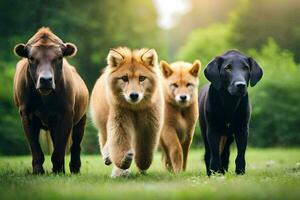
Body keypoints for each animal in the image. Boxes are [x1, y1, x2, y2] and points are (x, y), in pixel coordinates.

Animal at [90, 47, 164, 178]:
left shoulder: (149, 124)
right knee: (105, 141)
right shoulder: (119, 121)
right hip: (103, 124)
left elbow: (145, 149)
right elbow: (118, 143)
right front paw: (123, 163)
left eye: (142, 78)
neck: (135, 109)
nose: (134, 95)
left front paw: (142, 164)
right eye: (124, 78)